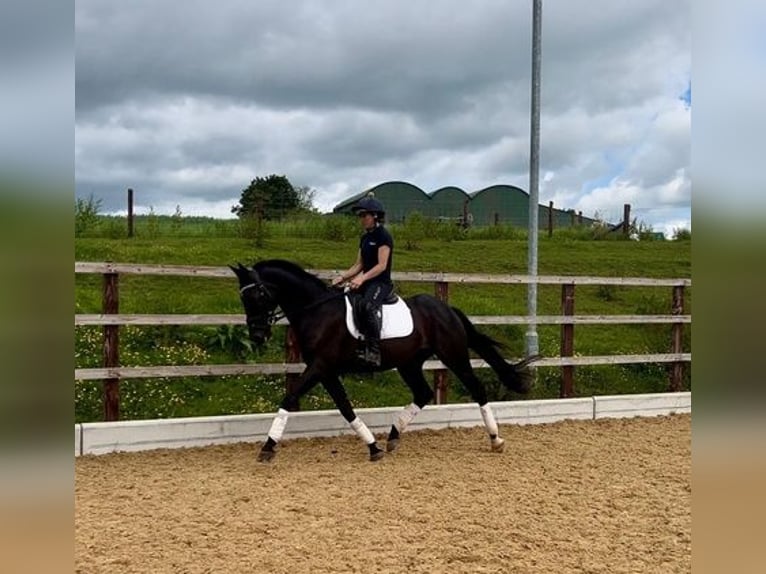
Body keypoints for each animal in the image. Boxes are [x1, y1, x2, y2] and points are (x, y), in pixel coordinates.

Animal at [231, 260, 536, 464]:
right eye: (243, 297)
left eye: (257, 295)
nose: (257, 335)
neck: (317, 311)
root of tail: (446, 309)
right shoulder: (326, 371)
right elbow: (346, 408)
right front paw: (373, 447)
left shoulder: (319, 367)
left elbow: (289, 397)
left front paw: (268, 446)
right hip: (409, 363)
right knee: (423, 393)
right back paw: (393, 436)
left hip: (453, 355)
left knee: (476, 389)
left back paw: (496, 439)